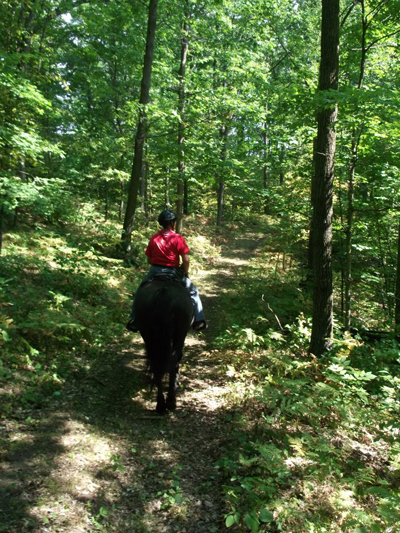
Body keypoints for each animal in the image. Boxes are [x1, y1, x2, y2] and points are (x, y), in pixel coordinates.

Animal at [134, 276, 194, 414]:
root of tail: (163, 293)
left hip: (147, 333)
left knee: (156, 363)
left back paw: (160, 404)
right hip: (180, 334)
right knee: (174, 361)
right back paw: (170, 401)